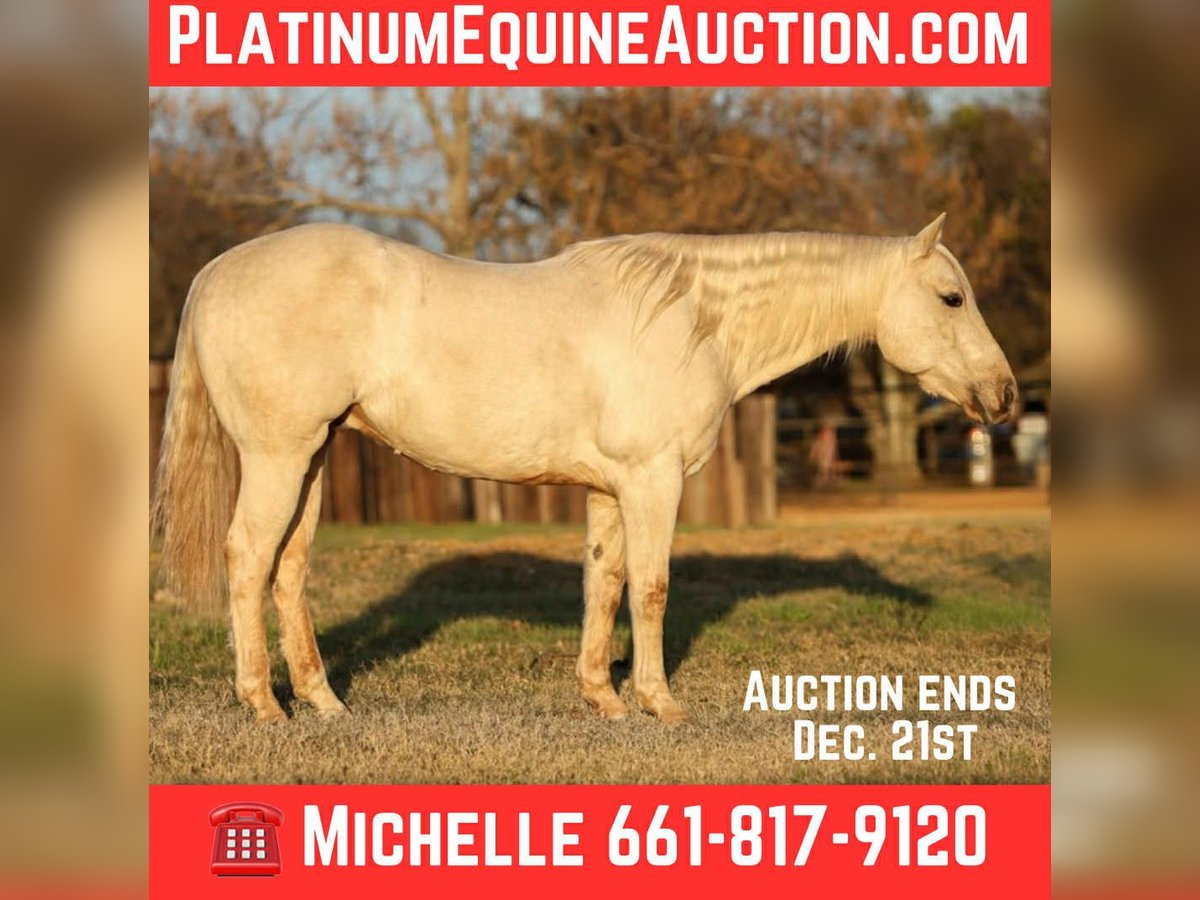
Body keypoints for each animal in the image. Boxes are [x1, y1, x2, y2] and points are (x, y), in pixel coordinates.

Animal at [152, 213, 1016, 724]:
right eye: (950, 297)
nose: (1004, 394)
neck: (693, 318)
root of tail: (216, 272)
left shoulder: (610, 490)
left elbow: (605, 582)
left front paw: (603, 696)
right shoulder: (652, 480)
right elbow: (653, 587)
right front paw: (661, 703)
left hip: (315, 456)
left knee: (289, 569)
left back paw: (324, 702)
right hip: (279, 456)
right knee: (246, 559)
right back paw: (263, 704)